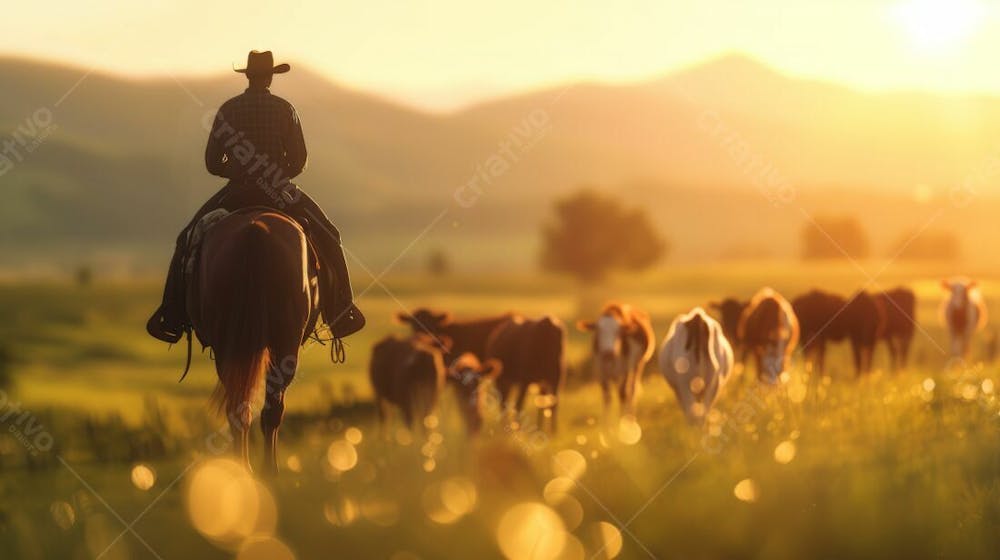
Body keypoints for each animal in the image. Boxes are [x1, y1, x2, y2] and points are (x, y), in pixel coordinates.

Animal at [184, 209, 316, 472]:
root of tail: (255, 231)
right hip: (283, 343)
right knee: (269, 408)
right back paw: (265, 468)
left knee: (241, 408)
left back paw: (245, 466)